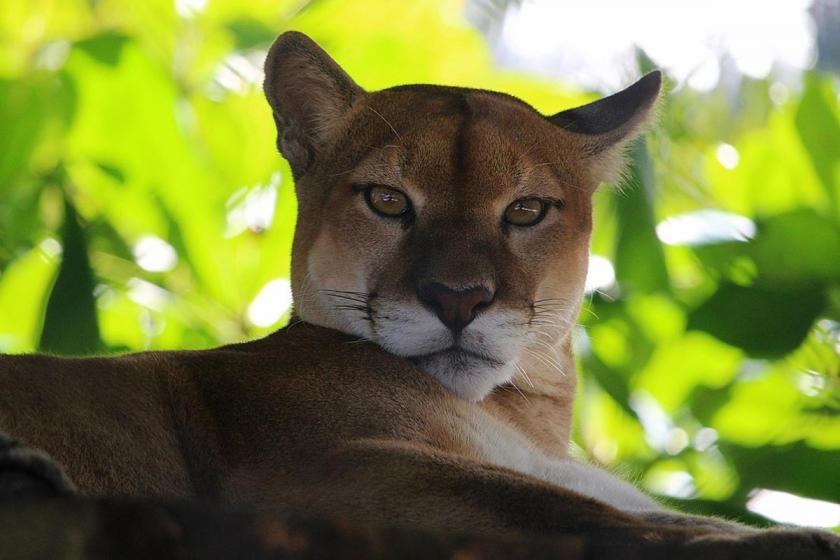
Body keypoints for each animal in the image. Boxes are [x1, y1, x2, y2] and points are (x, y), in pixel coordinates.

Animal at [0, 31, 836, 556]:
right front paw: (791, 539)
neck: (518, 419)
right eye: (388, 200)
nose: (458, 299)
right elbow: (560, 508)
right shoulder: (313, 470)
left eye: (525, 210)